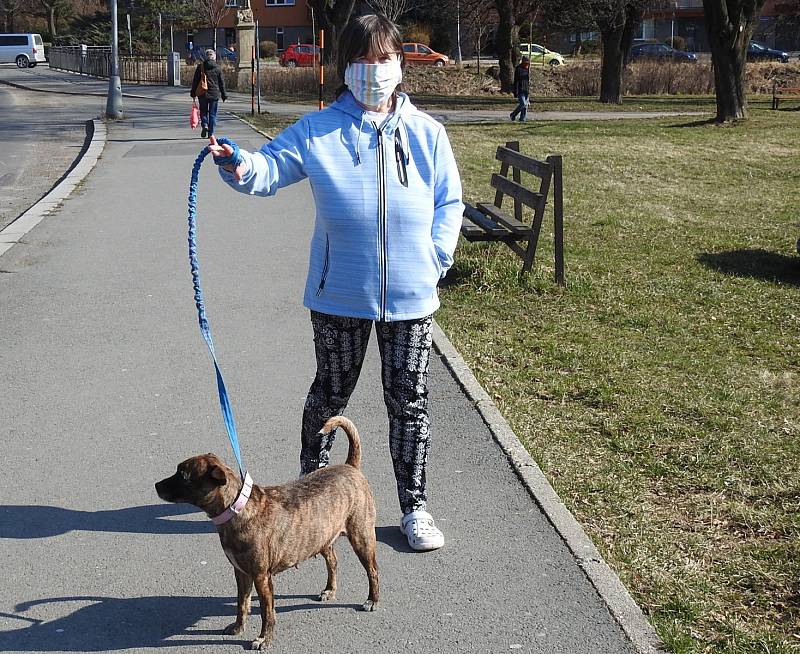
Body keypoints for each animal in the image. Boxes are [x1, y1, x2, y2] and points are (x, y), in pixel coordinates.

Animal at [158, 418, 382, 652]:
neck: (238, 508)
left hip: (362, 538)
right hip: (322, 538)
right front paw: (238, 627)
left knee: (373, 571)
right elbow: (242, 604)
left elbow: (267, 613)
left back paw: (373, 600)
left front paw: (264, 638)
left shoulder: (261, 578)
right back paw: (330, 590)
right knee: (333, 561)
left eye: (183, 475)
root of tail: (350, 466)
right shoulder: (241, 573)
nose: (156, 486)